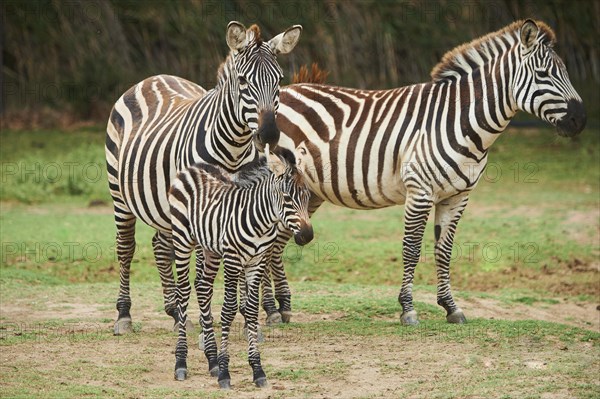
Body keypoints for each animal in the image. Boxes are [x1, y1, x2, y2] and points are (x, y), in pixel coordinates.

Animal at [105, 21, 302, 334]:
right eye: (243, 81)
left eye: (279, 80)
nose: (269, 134)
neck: (234, 147)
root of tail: (153, 78)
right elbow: (203, 271)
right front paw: (207, 319)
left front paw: (249, 316)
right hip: (120, 195)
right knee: (126, 248)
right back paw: (124, 315)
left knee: (161, 246)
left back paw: (175, 312)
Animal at [168, 148, 312, 390]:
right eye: (287, 197)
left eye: (307, 197)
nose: (307, 236)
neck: (260, 222)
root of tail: (195, 167)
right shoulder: (233, 260)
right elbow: (228, 311)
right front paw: (225, 373)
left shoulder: (257, 262)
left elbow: (252, 311)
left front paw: (257, 370)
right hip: (182, 240)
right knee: (184, 293)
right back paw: (181, 363)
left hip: (210, 250)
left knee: (204, 289)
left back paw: (211, 360)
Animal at [262, 19, 584, 324]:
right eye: (543, 74)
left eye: (565, 73)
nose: (579, 121)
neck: (462, 121)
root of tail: (286, 90)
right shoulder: (420, 192)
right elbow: (412, 249)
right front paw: (408, 309)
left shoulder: (458, 197)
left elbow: (444, 251)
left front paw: (451, 307)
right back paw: (269, 309)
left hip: (306, 195)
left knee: (276, 246)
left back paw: (281, 307)